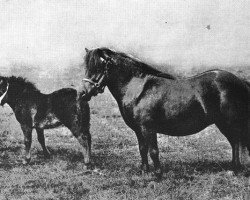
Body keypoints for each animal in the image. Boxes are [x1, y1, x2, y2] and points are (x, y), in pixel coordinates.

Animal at [82, 47, 250, 178]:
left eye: (98, 67)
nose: (83, 93)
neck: (138, 89)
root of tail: (240, 81)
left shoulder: (148, 128)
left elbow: (153, 151)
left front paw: (158, 174)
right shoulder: (138, 130)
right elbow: (142, 149)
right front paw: (145, 171)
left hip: (230, 122)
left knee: (236, 142)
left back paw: (235, 170)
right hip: (224, 124)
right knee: (235, 143)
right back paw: (233, 169)